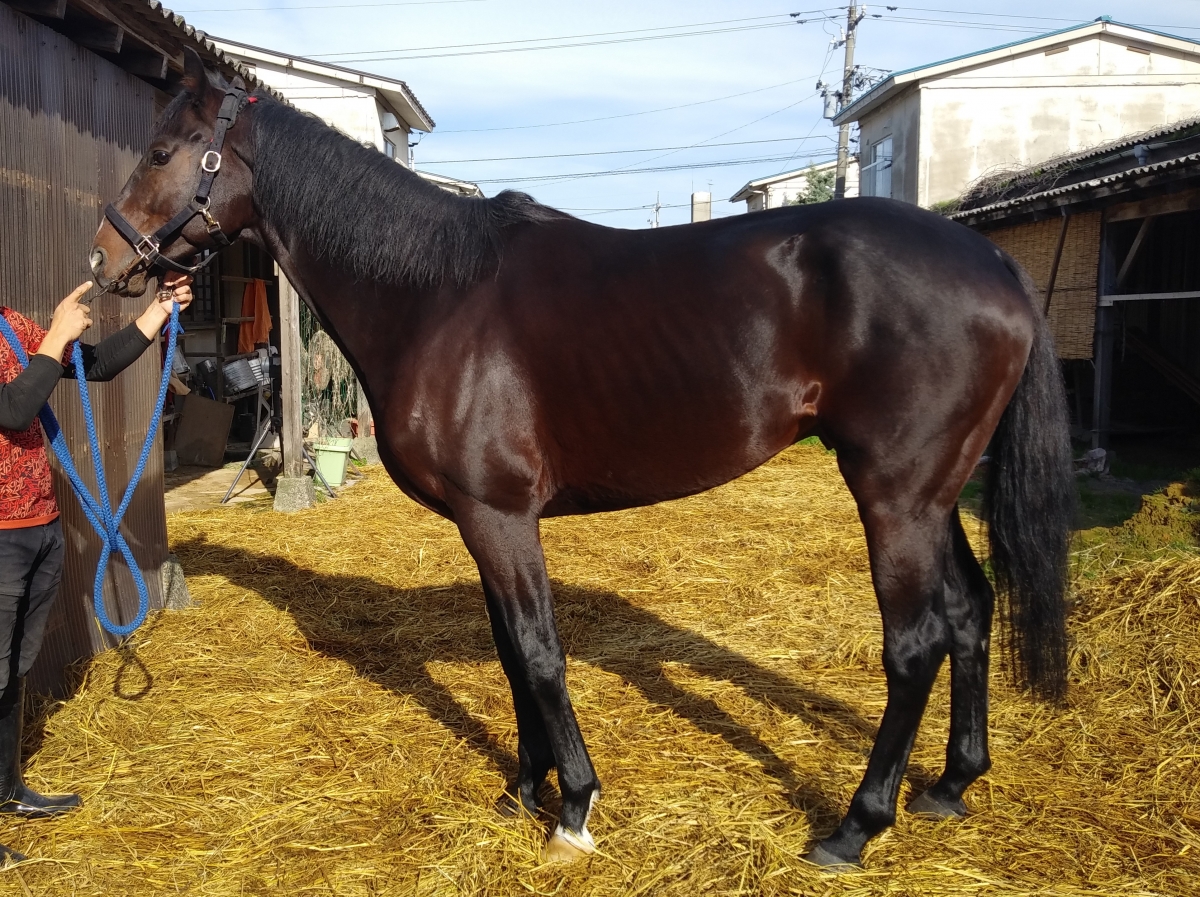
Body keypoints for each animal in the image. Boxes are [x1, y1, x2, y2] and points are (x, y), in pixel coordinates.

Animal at [90, 49, 1074, 869]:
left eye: (164, 151)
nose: (103, 261)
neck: (438, 296)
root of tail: (992, 261)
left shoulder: (500, 514)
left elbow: (537, 651)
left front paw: (574, 808)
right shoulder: (484, 521)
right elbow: (508, 651)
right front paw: (522, 789)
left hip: (895, 494)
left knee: (915, 643)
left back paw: (855, 827)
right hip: (934, 493)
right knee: (970, 610)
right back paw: (951, 783)